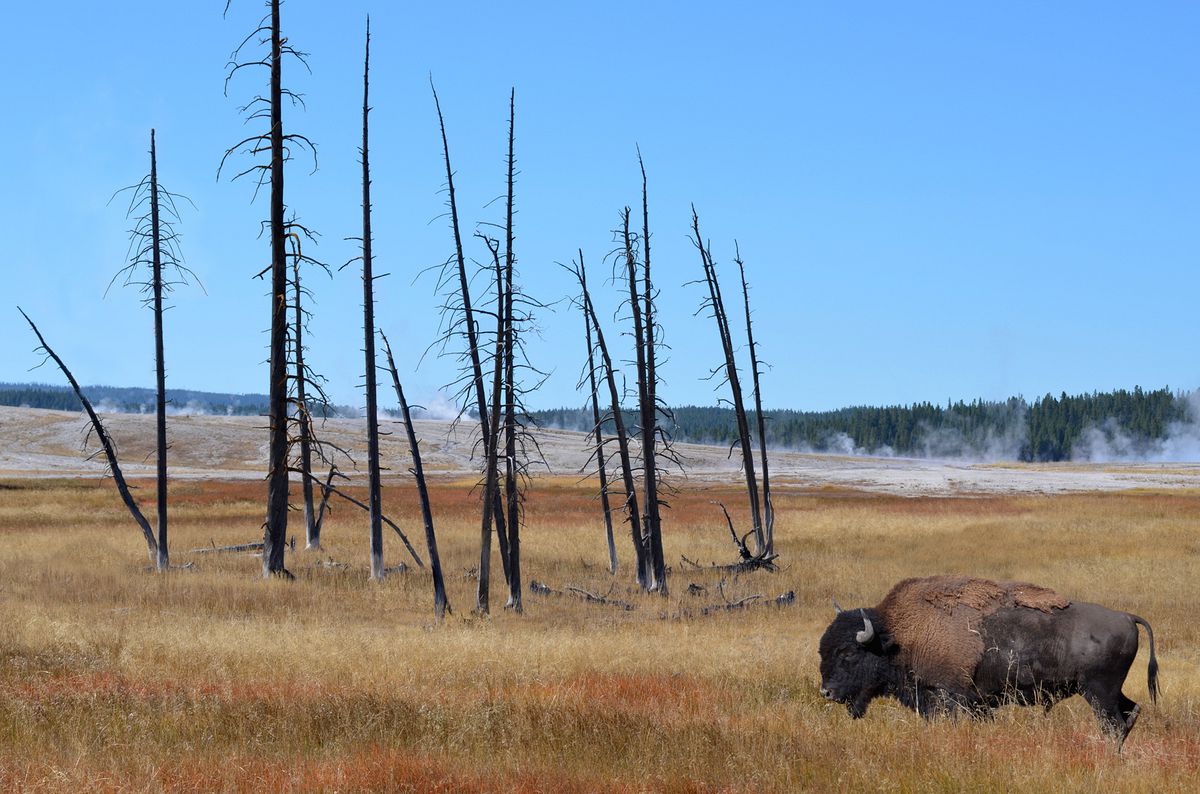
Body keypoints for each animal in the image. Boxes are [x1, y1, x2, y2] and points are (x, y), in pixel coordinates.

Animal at [819, 575, 1158, 747]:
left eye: (848, 652)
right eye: (824, 649)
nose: (826, 692)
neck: (898, 634)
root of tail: (1126, 616)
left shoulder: (946, 698)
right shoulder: (977, 703)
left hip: (1098, 693)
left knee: (1114, 724)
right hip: (1108, 692)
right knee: (1130, 712)